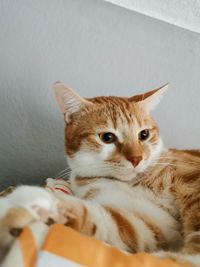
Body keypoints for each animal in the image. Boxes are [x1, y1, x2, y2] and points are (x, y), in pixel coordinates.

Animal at [0, 82, 199, 266]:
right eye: (107, 138)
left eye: (144, 134)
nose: (137, 159)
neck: (132, 182)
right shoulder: (146, 224)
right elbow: (97, 218)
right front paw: (30, 203)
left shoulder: (192, 182)